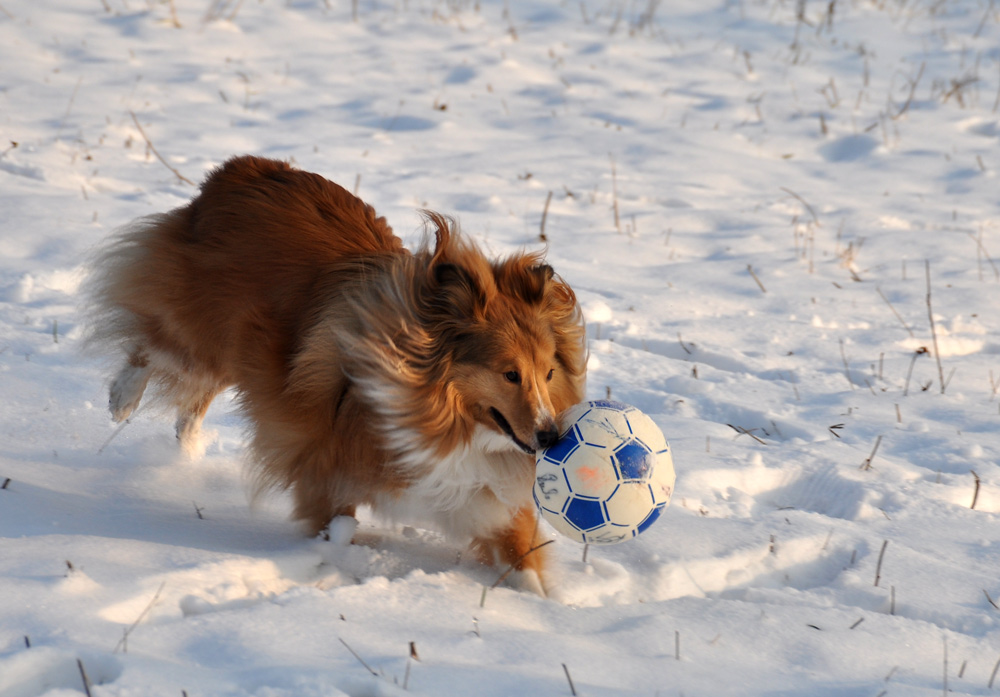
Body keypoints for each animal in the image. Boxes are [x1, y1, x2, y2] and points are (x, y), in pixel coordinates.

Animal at [88, 156, 584, 592]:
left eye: (548, 373)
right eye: (509, 374)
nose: (551, 438)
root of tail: (239, 168)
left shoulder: (488, 495)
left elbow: (523, 560)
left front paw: (544, 609)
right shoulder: (327, 472)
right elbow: (335, 526)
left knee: (194, 397)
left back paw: (188, 451)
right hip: (201, 332)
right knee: (154, 345)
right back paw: (123, 399)